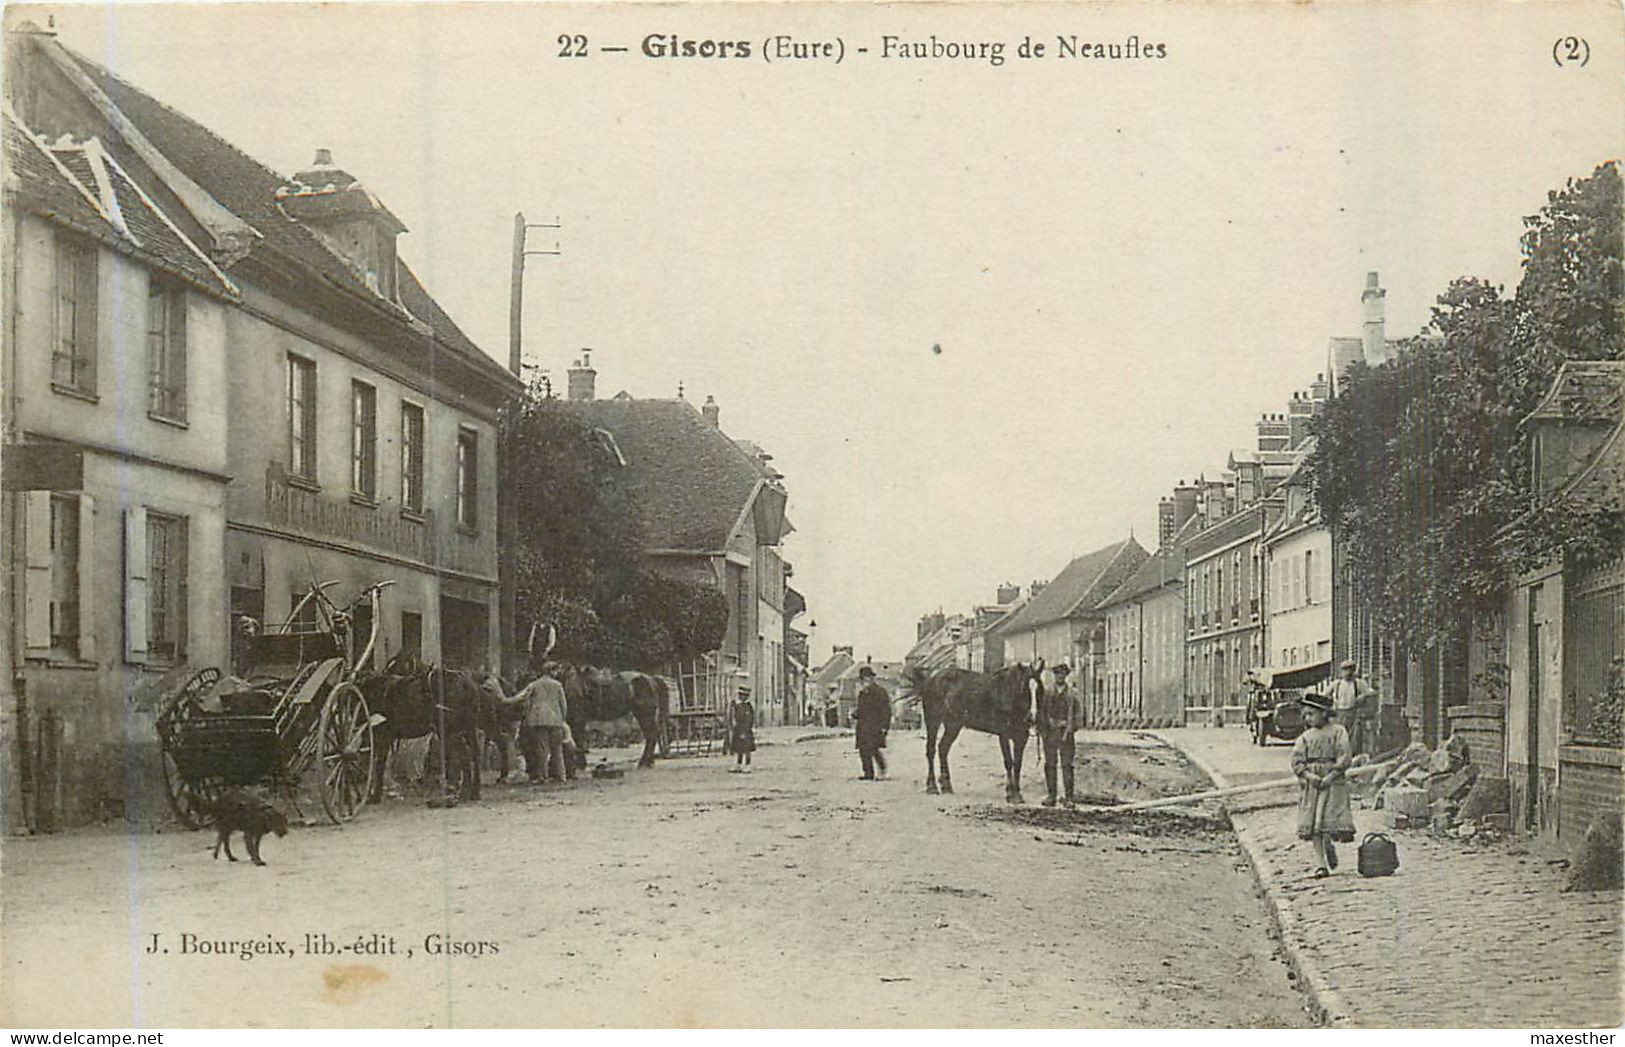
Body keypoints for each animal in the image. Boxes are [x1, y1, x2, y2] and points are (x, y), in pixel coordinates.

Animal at [357, 663, 477, 803]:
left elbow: (379, 764)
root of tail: (465, 682)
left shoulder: (383, 735)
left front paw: (375, 796)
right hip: (468, 729)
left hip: (451, 732)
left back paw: (463, 793)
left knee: (465, 757)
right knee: (475, 755)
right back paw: (475, 792)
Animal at [903, 663, 1040, 803]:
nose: (1032, 717)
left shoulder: (1022, 737)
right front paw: (1010, 794)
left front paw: (1017, 794)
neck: (1007, 694)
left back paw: (946, 786)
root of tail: (931, 678)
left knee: (943, 748)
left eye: (1040, 688)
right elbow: (1009, 762)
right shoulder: (1004, 735)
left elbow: (1017, 764)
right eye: (1023, 687)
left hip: (953, 725)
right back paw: (932, 787)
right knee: (931, 750)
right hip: (933, 720)